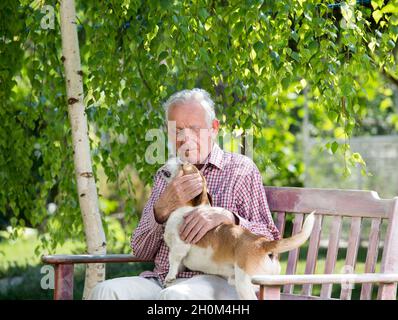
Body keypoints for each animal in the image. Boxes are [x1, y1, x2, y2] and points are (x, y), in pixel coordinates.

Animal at [160, 158, 316, 300]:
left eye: (182, 164)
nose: (172, 157)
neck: (188, 207)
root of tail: (262, 243)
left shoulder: (179, 245)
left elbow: (173, 261)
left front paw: (169, 277)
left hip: (244, 285)